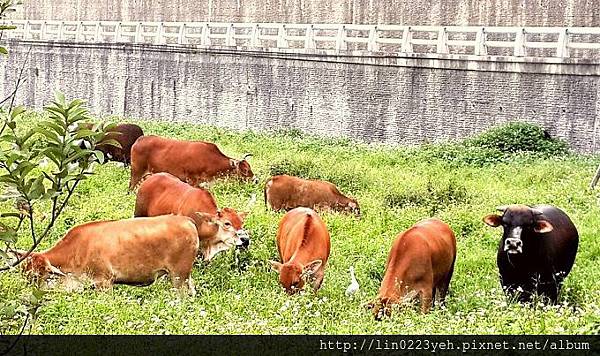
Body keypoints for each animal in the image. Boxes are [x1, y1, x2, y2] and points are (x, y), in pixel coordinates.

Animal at [16, 214, 237, 294]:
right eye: (24, 274)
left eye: (36, 276)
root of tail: (186, 220)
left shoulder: (104, 282)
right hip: (183, 276)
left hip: (178, 275)